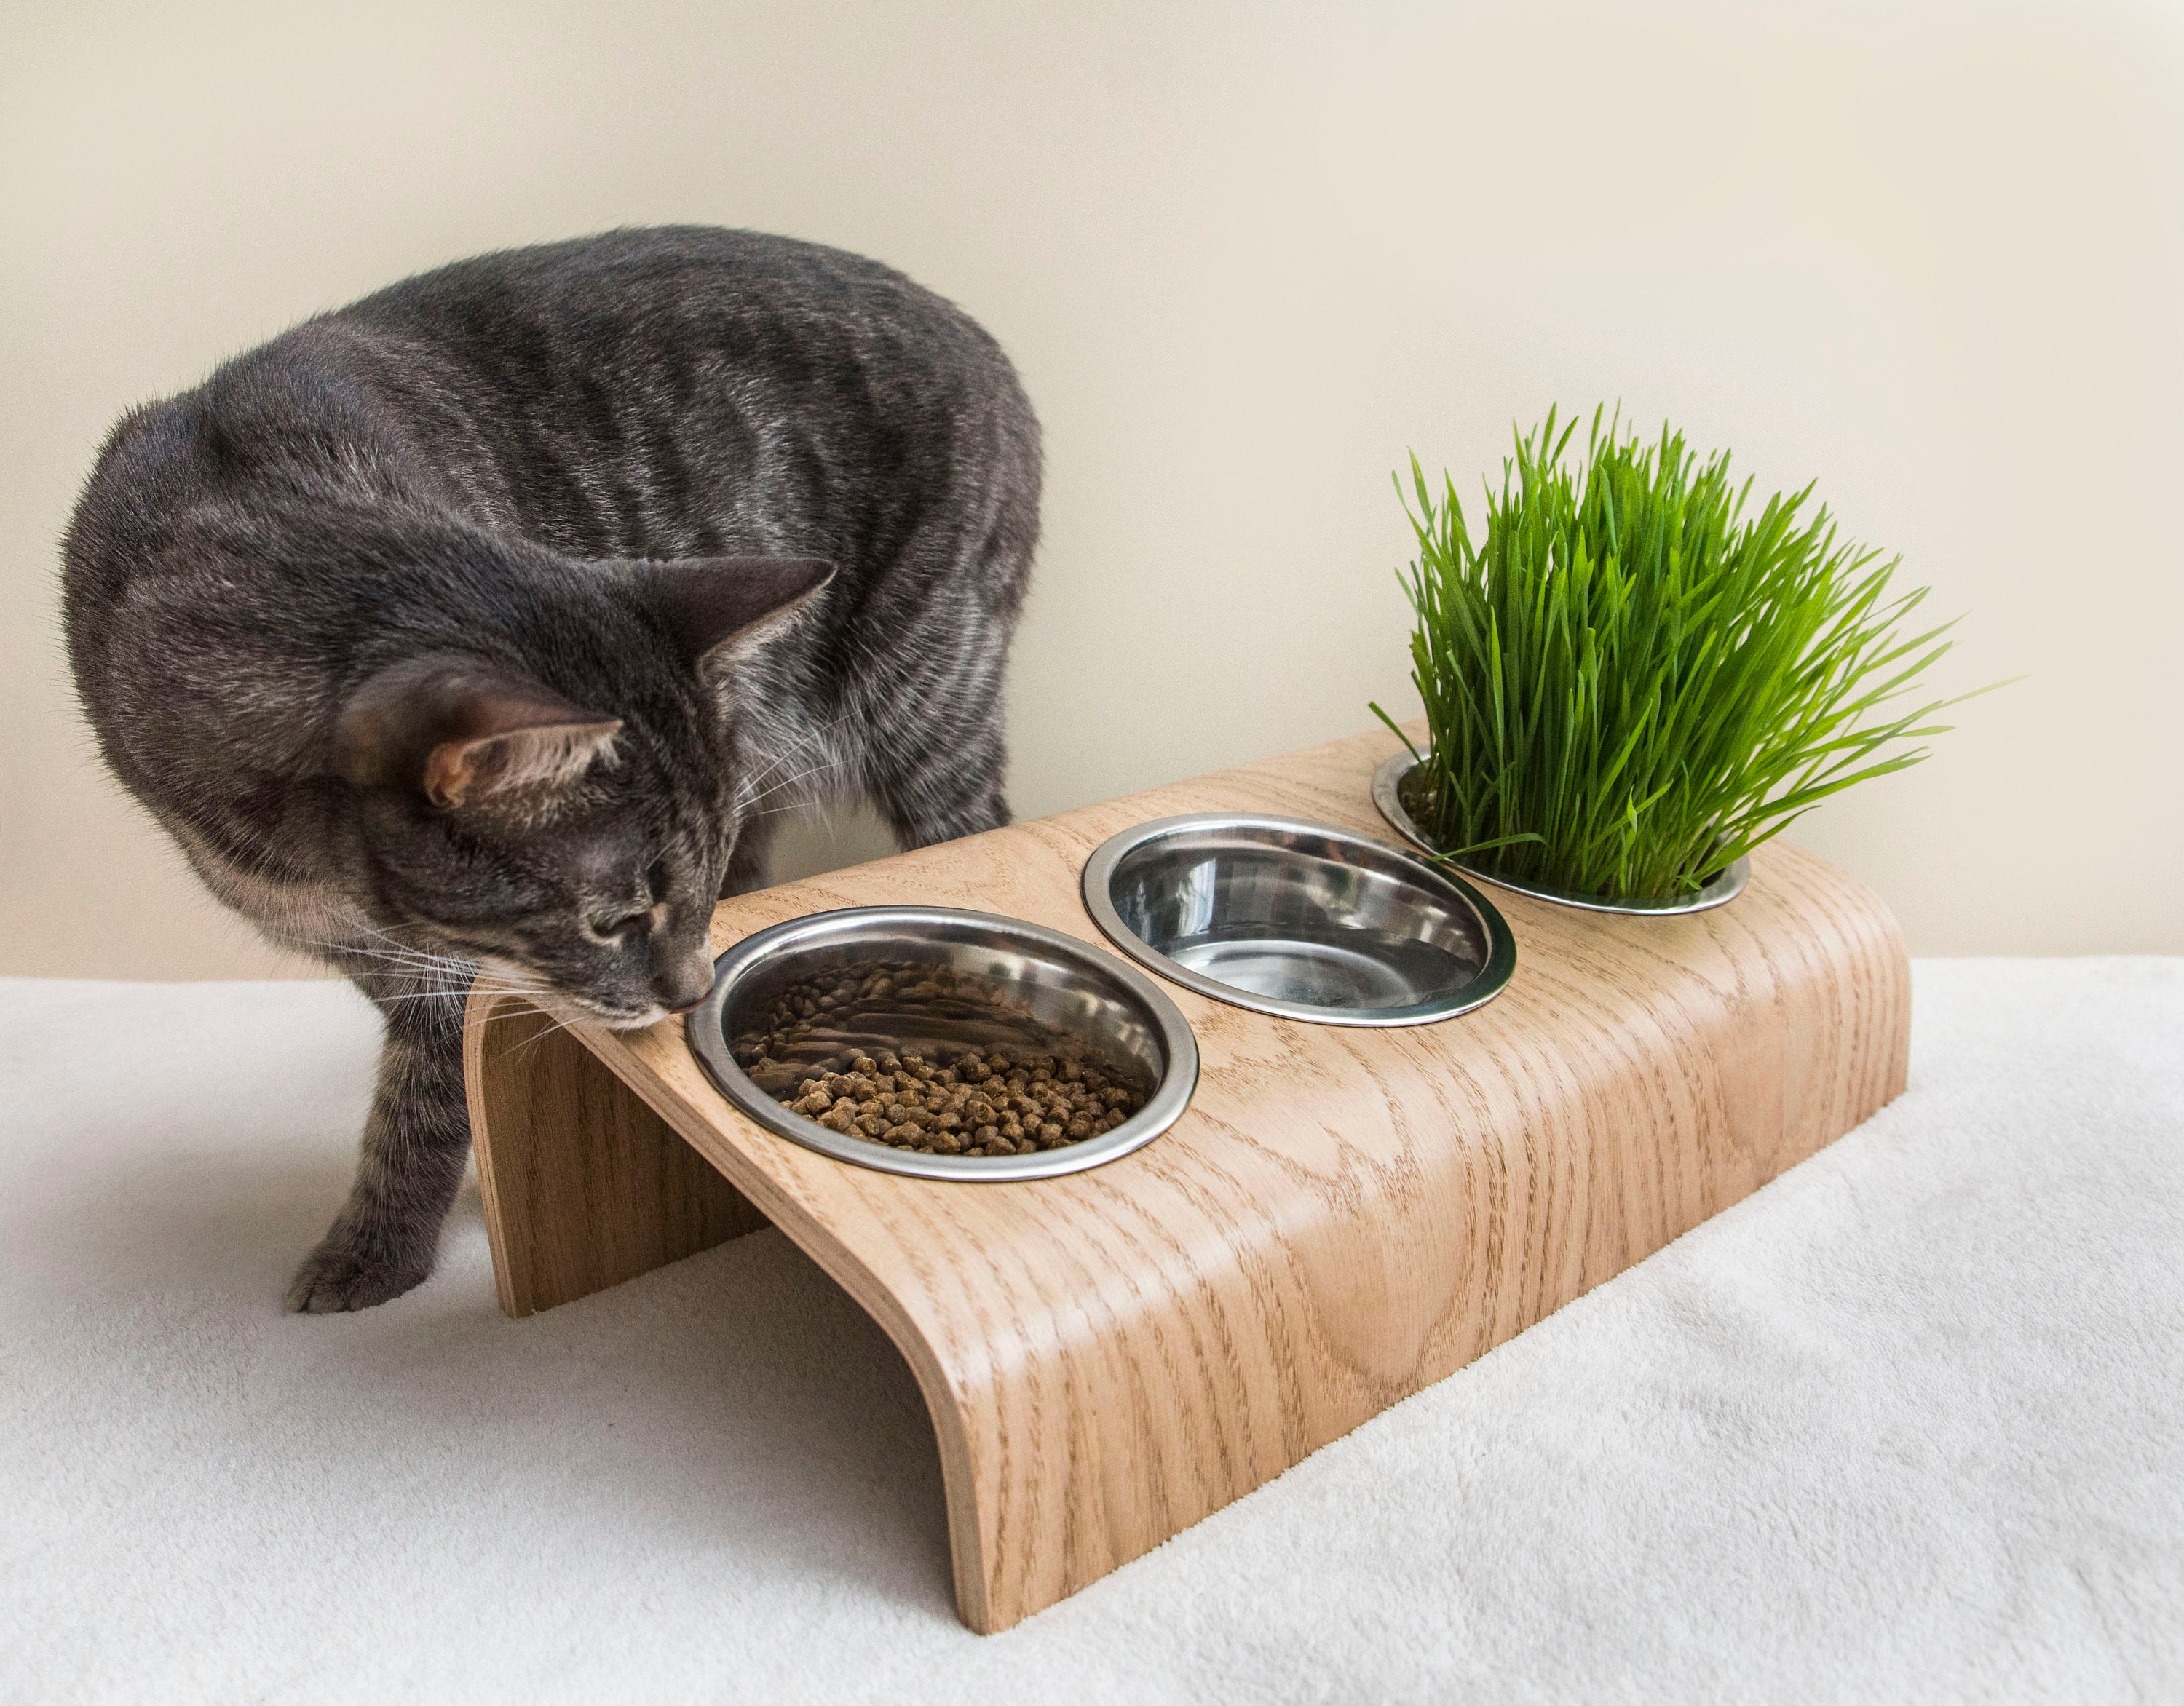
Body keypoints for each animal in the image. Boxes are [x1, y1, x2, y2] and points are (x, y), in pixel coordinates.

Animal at [55, 229, 1035, 1301]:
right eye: (611, 921)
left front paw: (381, 1247)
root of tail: (983, 344)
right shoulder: (380, 955)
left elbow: (425, 1098)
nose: (690, 994)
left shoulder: (444, 971)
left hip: (925, 694)